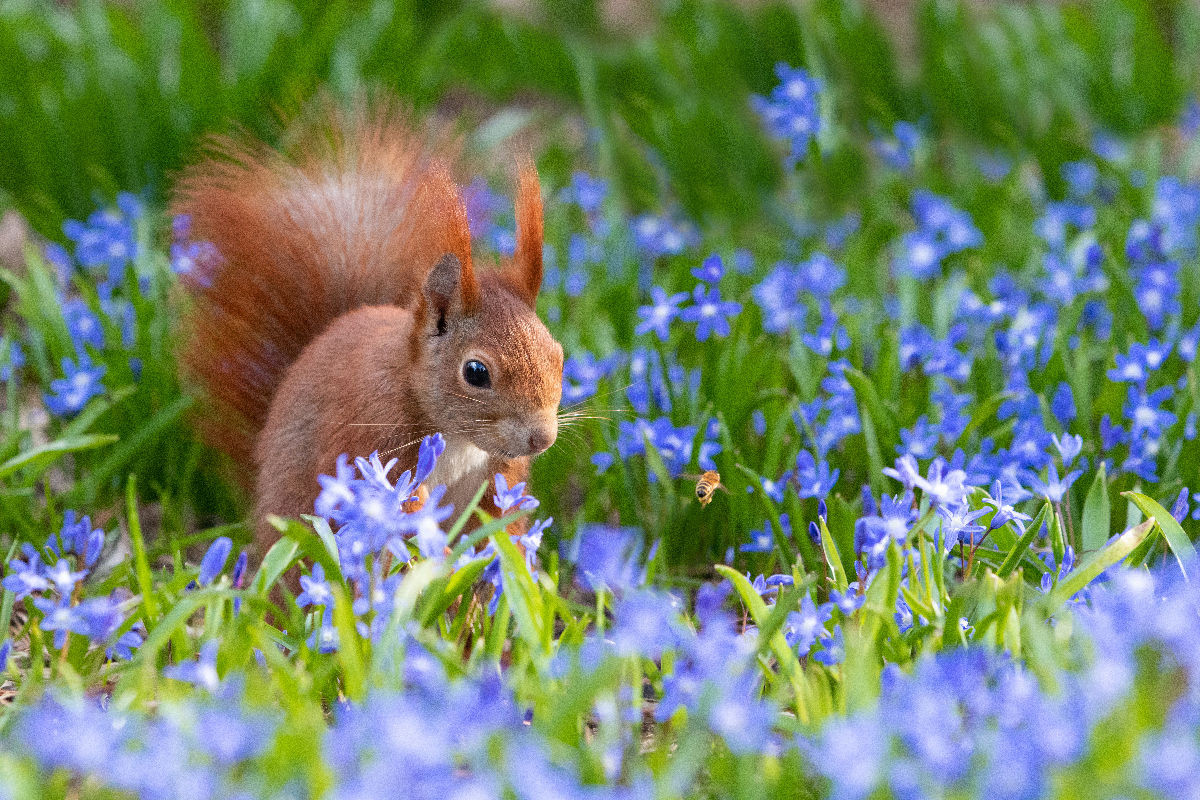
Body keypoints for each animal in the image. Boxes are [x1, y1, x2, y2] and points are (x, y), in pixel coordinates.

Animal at [172, 106, 561, 554]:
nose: (542, 439)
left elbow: (499, 515)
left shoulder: (498, 473)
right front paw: (444, 556)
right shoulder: (375, 433)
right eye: (476, 372)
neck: (459, 438)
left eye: (558, 355)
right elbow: (401, 506)